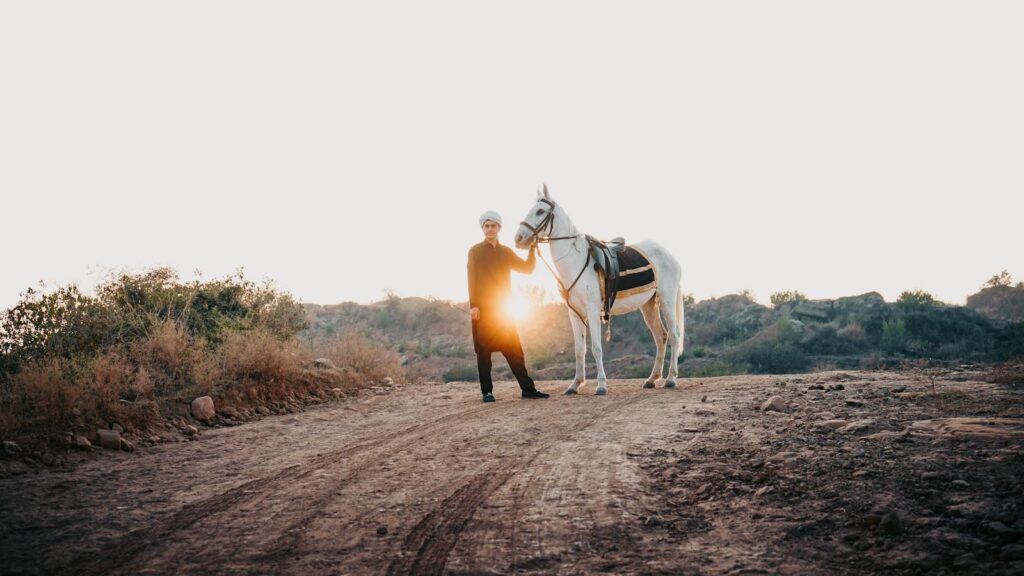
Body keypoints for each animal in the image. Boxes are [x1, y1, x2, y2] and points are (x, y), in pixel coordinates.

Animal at [514, 185, 685, 396]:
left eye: (540, 211)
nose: (519, 238)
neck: (576, 261)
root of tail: (669, 255)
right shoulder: (574, 312)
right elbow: (580, 350)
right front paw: (575, 385)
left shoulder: (593, 310)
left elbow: (596, 348)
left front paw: (602, 385)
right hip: (648, 306)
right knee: (661, 337)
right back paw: (652, 379)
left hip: (667, 301)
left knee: (674, 336)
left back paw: (670, 379)